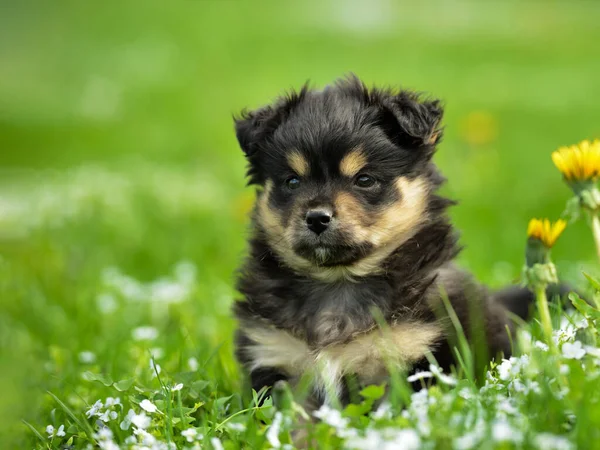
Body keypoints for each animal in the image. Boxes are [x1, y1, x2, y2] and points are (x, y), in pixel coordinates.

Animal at [232, 74, 532, 408]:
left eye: (364, 179)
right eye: (292, 181)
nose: (317, 217)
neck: (338, 282)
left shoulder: (416, 352)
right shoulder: (275, 356)